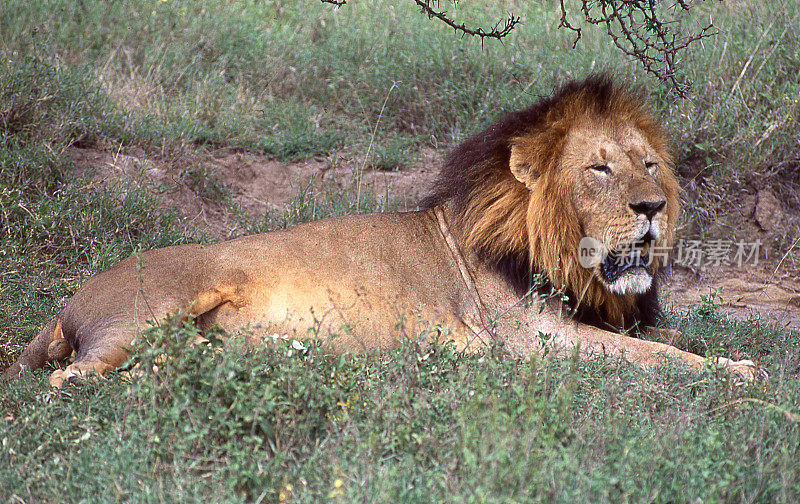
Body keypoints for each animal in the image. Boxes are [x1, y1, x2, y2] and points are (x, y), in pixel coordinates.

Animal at [4, 76, 756, 390]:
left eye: (649, 164)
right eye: (600, 168)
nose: (652, 205)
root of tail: (68, 305)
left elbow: (664, 342)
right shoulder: (534, 341)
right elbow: (656, 357)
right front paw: (742, 371)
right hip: (152, 311)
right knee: (70, 379)